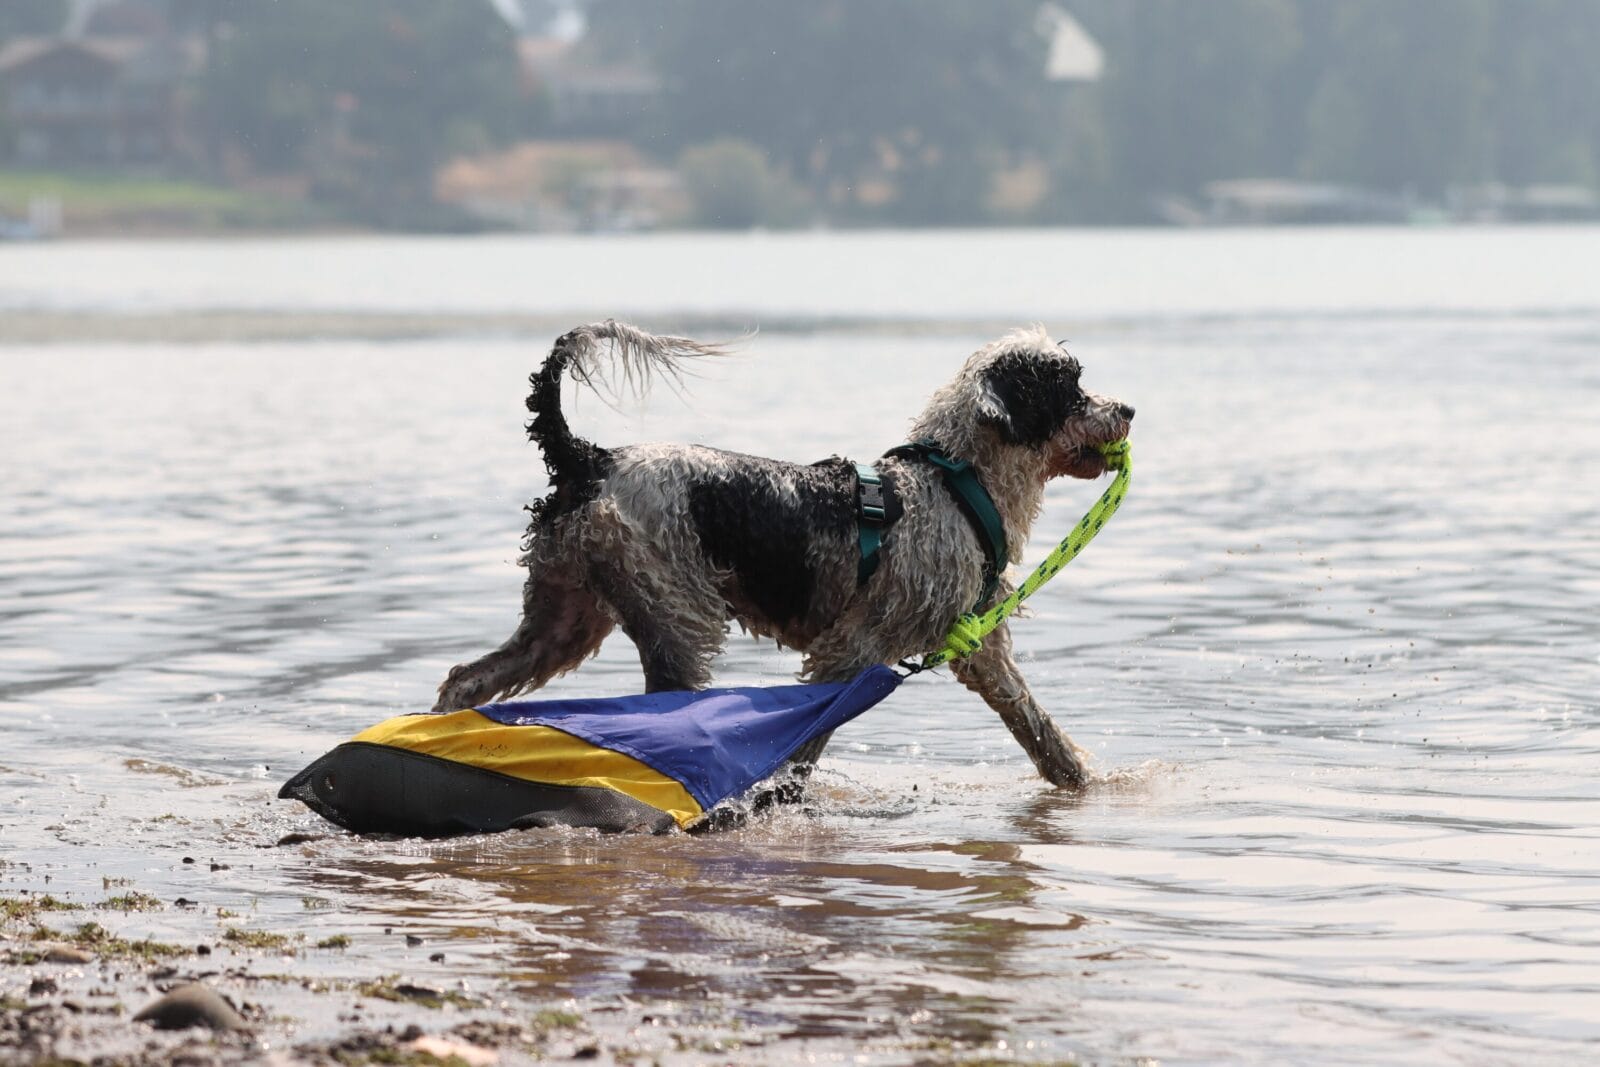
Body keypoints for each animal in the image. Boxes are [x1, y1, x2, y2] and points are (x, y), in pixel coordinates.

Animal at [435, 321, 1139, 790]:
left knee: (466, 676)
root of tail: (589, 458)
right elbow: (806, 741)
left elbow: (1037, 727)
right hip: (677, 620)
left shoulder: (980, 647)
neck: (954, 482)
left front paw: (1083, 783)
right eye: (1069, 387)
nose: (1128, 408)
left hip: (563, 618)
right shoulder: (850, 650)